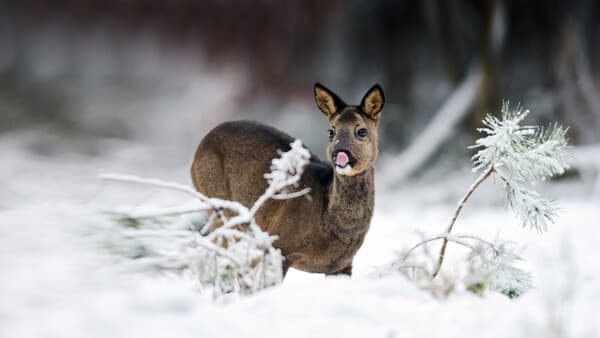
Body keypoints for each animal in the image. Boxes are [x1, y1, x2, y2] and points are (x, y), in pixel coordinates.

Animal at [192, 83, 384, 276]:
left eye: (362, 131)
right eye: (331, 131)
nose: (339, 154)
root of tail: (198, 148)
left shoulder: (343, 265)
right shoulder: (278, 243)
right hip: (218, 204)